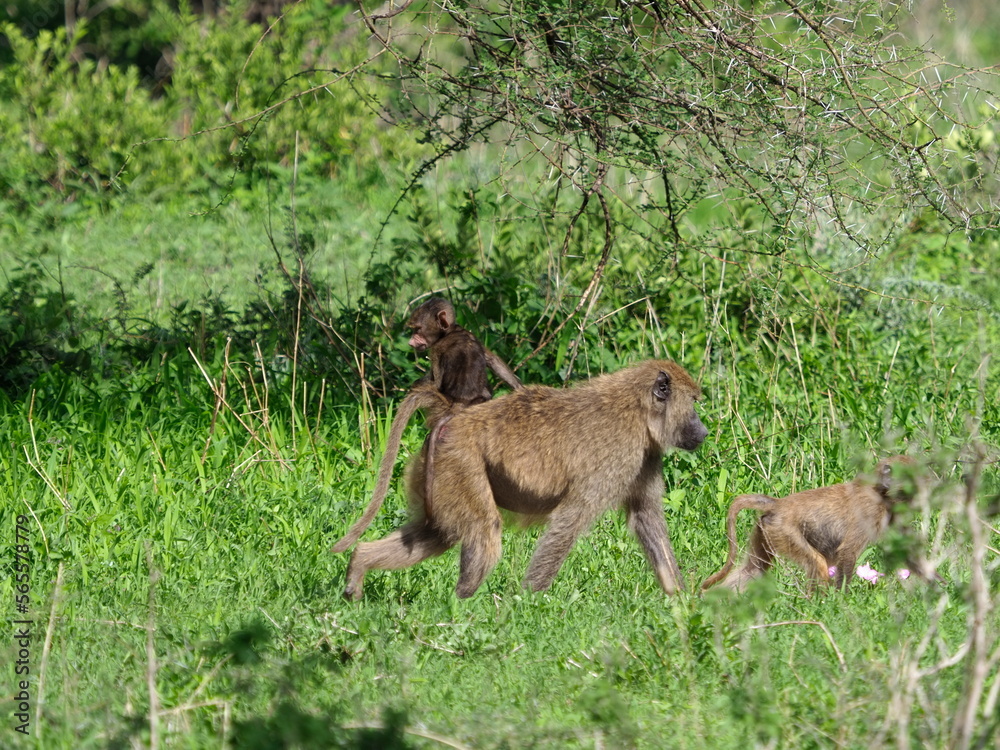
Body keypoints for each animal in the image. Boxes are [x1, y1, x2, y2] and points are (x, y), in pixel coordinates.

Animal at [331, 297, 522, 554]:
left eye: (418, 329)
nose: (411, 341)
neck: (451, 332)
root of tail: (460, 406)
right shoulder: (472, 335)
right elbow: (493, 360)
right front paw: (520, 388)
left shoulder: (437, 350)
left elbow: (434, 380)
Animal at [340, 359, 709, 600]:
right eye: (693, 404)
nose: (703, 431)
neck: (638, 409)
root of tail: (453, 416)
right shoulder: (618, 456)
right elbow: (569, 523)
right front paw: (529, 604)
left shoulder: (645, 458)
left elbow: (646, 519)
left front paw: (681, 599)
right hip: (460, 463)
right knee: (483, 532)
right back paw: (464, 607)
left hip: (436, 471)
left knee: (435, 534)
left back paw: (359, 567)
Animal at [701, 455, 921, 592]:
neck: (881, 492)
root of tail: (778, 504)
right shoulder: (870, 512)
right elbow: (847, 553)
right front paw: (841, 603)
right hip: (784, 530)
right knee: (817, 563)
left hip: (767, 529)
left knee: (754, 569)